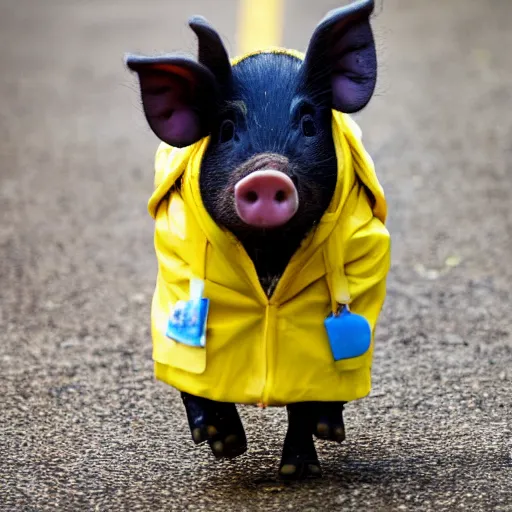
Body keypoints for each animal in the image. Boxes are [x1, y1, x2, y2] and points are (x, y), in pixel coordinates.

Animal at [125, 0, 388, 480]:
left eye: (308, 123)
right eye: (227, 128)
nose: (267, 174)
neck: (267, 257)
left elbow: (312, 378)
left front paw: (297, 472)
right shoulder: (177, 270)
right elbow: (191, 365)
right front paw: (225, 446)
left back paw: (331, 431)